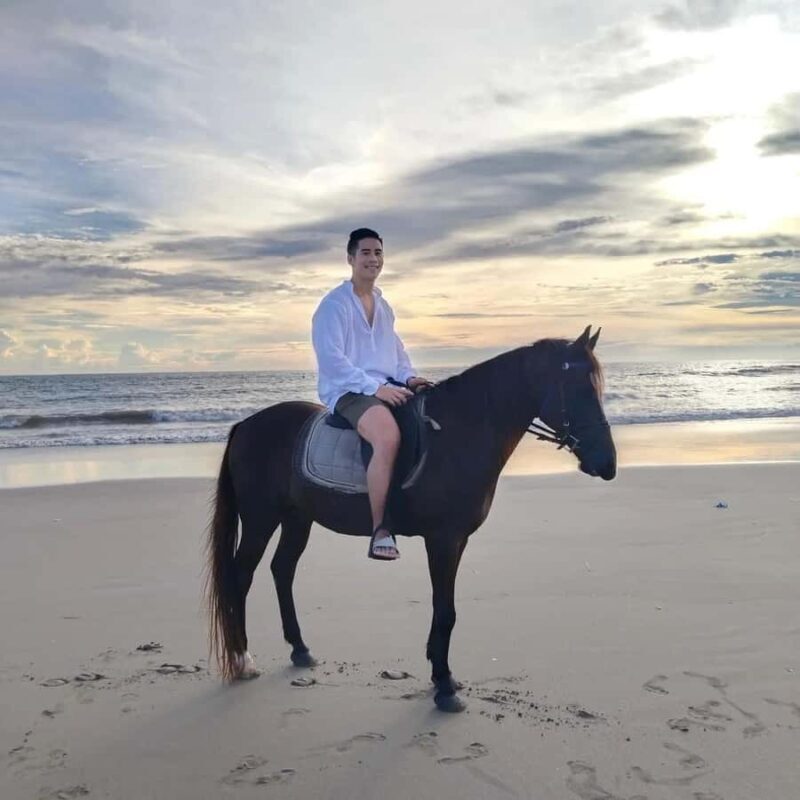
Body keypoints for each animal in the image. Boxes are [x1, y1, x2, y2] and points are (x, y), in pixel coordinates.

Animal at [205, 325, 616, 712]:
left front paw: (440, 674)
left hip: (297, 518)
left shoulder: (457, 540)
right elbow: (445, 610)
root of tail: (245, 426)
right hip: (260, 518)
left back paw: (300, 648)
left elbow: (443, 608)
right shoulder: (444, 539)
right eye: (578, 388)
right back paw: (242, 658)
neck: (460, 431)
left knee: (282, 569)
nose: (607, 464)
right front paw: (445, 686)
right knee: (241, 576)